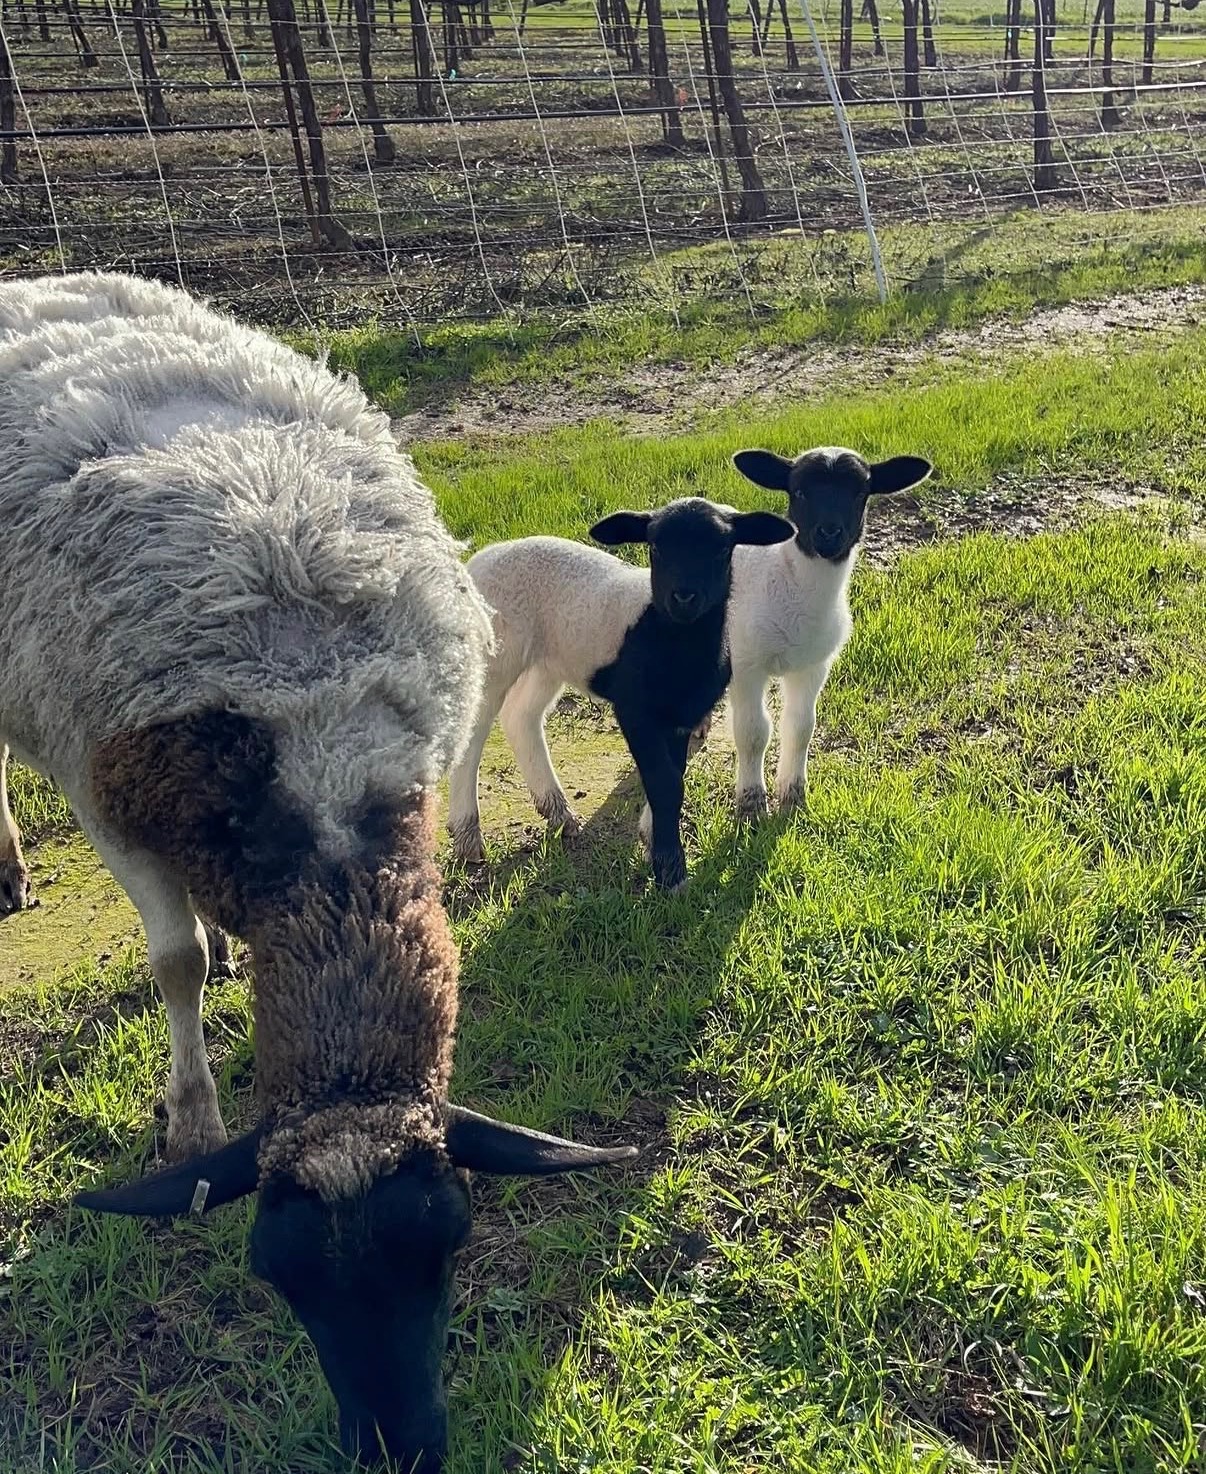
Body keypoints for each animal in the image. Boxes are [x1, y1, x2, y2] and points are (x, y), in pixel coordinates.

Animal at [0, 270, 635, 1473]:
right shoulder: (108, 800)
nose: (397, 1450)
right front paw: (193, 1114)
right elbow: (175, 963)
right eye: (274, 1273)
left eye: (448, 1241)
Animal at [446, 498, 795, 890]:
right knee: (472, 735)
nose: (684, 597)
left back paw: (558, 812)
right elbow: (664, 784)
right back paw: (467, 834)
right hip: (493, 657)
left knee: (521, 718)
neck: (675, 643)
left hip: (550, 660)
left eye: (722, 549)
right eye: (655, 547)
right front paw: (670, 871)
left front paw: (655, 845)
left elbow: (673, 777)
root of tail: (479, 560)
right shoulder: (636, 710)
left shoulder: (681, 716)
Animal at [726, 445, 933, 820]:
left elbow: (800, 727)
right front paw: (751, 804)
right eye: (798, 492)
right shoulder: (747, 663)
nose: (829, 534)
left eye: (861, 493)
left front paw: (792, 796)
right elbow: (753, 732)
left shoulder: (814, 665)